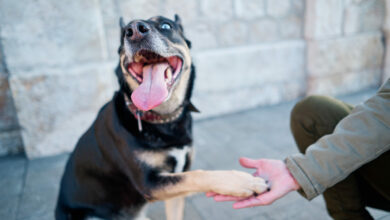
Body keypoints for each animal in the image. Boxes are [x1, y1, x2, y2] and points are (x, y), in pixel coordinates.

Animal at [54, 14, 268, 219]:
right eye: (124, 34)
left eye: (166, 25)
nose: (134, 31)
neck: (164, 120)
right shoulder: (150, 183)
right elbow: (199, 175)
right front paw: (243, 182)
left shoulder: (175, 183)